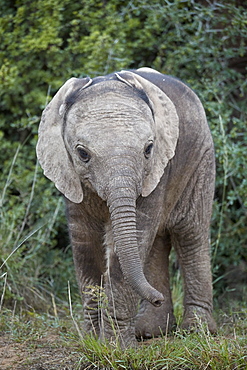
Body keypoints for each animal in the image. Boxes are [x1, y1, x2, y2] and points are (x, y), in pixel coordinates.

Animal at [36, 68, 216, 348]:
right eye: (82, 154)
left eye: (149, 149)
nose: (156, 297)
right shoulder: (69, 175)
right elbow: (85, 244)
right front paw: (92, 341)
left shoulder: (157, 169)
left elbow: (132, 241)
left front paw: (115, 348)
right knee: (156, 244)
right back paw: (149, 331)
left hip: (201, 157)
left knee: (190, 235)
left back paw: (197, 332)